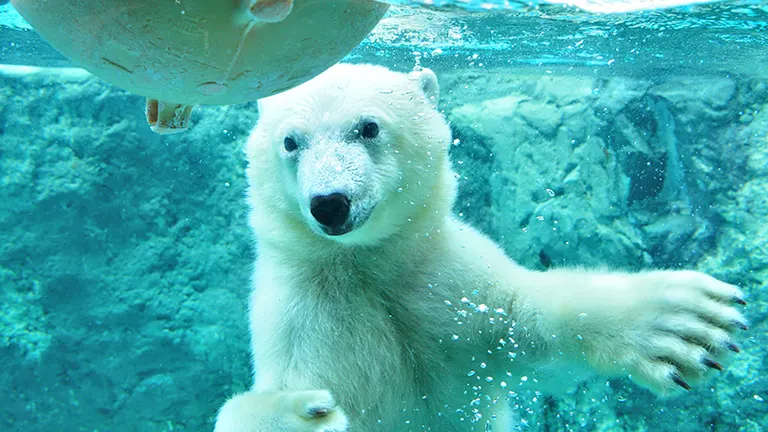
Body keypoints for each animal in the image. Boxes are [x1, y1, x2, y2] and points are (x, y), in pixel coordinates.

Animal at [214, 64, 744, 432]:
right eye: (290, 142)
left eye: (368, 127)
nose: (329, 203)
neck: (365, 263)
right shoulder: (301, 316)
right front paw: (297, 413)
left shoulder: (445, 283)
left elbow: (529, 323)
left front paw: (684, 322)